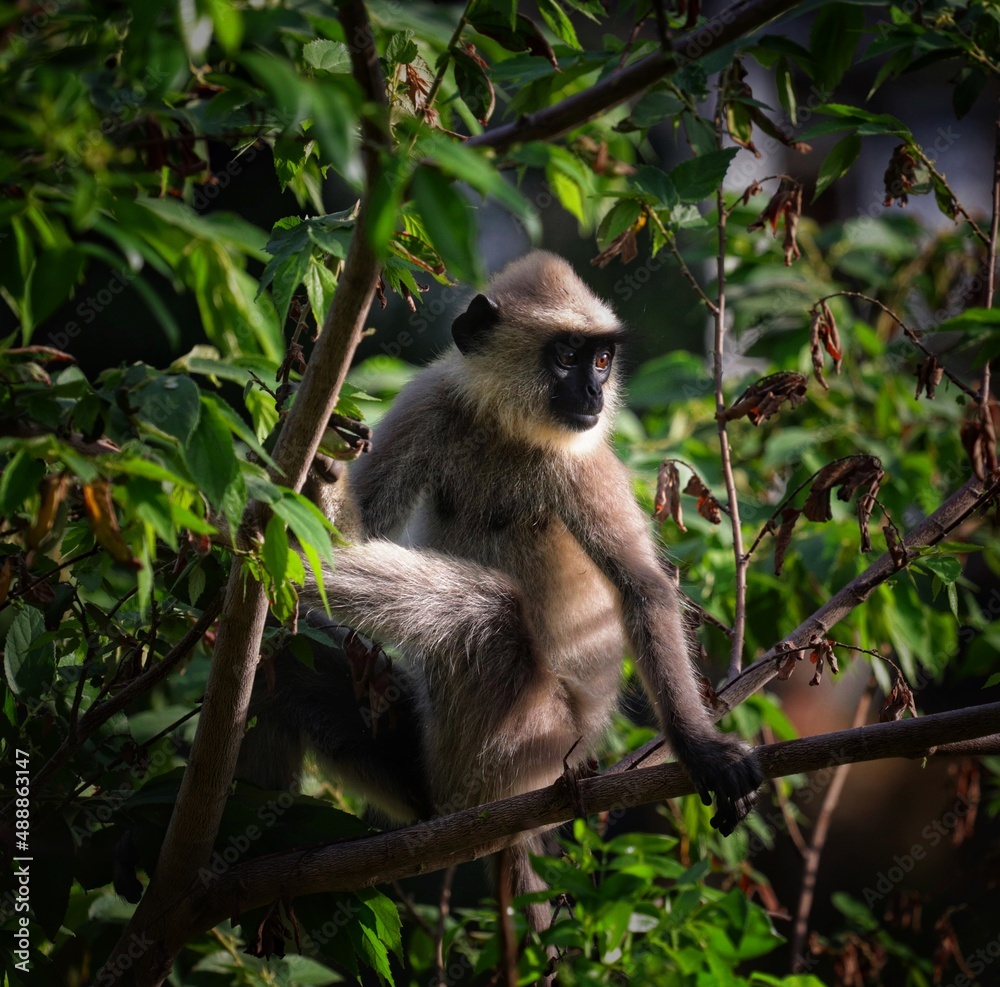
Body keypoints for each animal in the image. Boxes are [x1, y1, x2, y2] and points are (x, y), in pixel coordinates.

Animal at [238, 250, 762, 930]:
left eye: (600, 360)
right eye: (566, 357)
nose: (594, 392)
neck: (508, 429)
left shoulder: (582, 456)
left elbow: (643, 590)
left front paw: (701, 749)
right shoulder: (433, 401)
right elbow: (357, 533)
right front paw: (318, 461)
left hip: (523, 749)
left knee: (487, 610)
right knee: (286, 665)